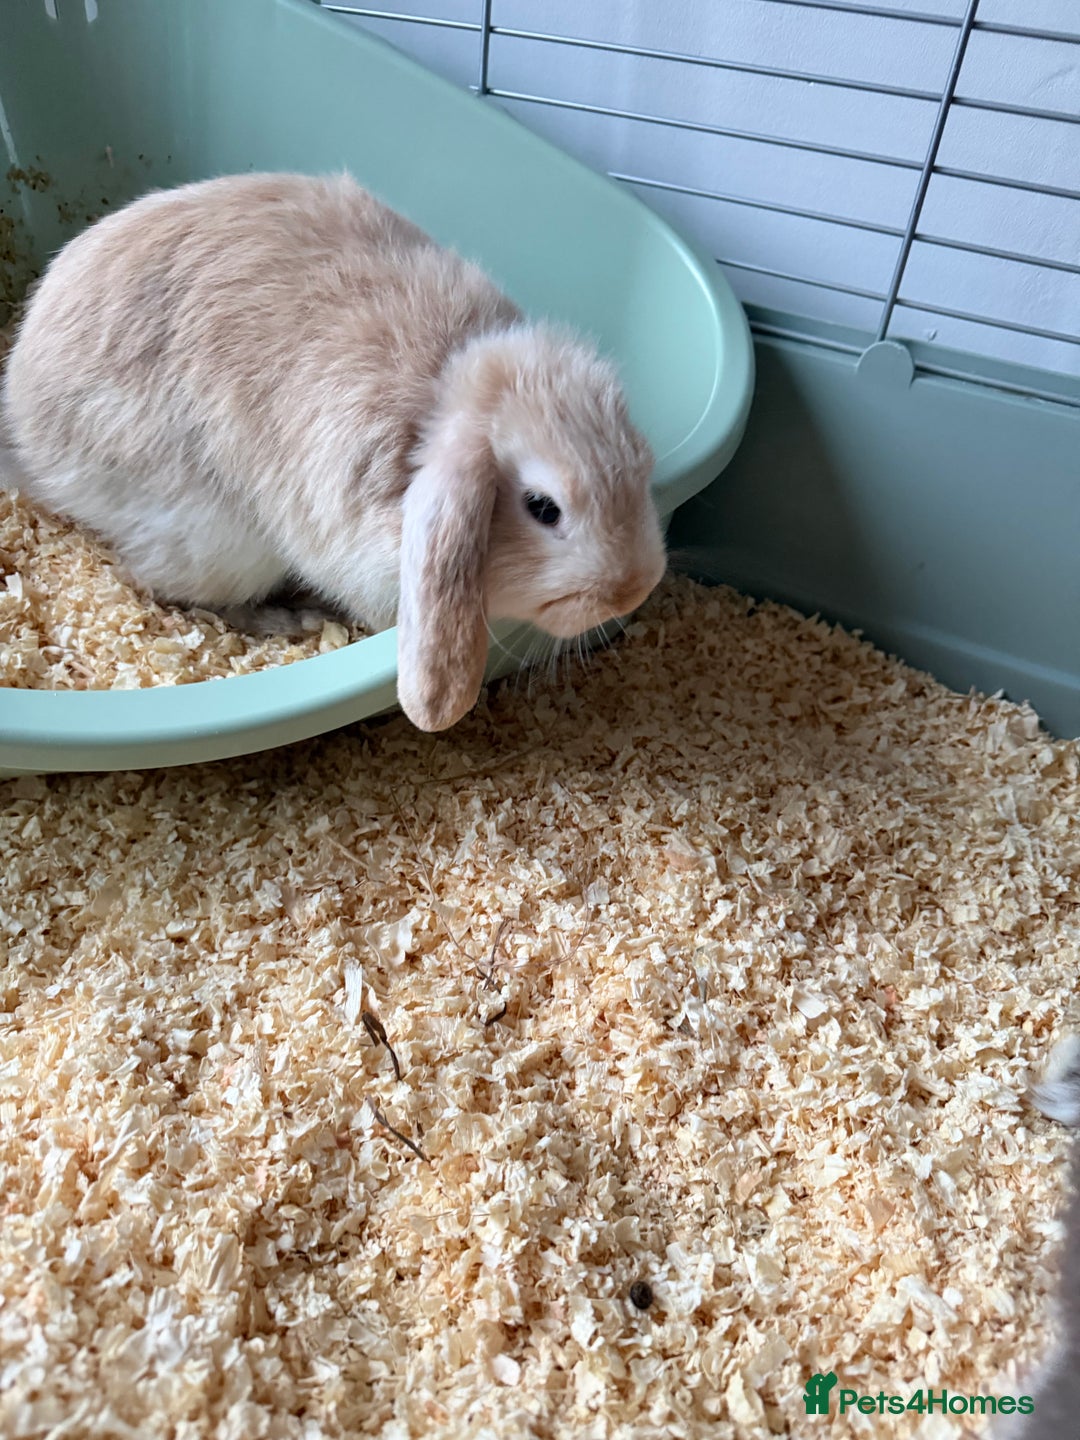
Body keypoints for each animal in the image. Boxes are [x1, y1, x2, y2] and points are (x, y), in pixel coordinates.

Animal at [1, 171, 666, 730]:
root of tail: (25, 422)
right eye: (543, 508)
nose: (635, 589)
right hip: (217, 543)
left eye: (642, 461)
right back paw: (292, 620)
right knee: (168, 589)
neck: (438, 402)